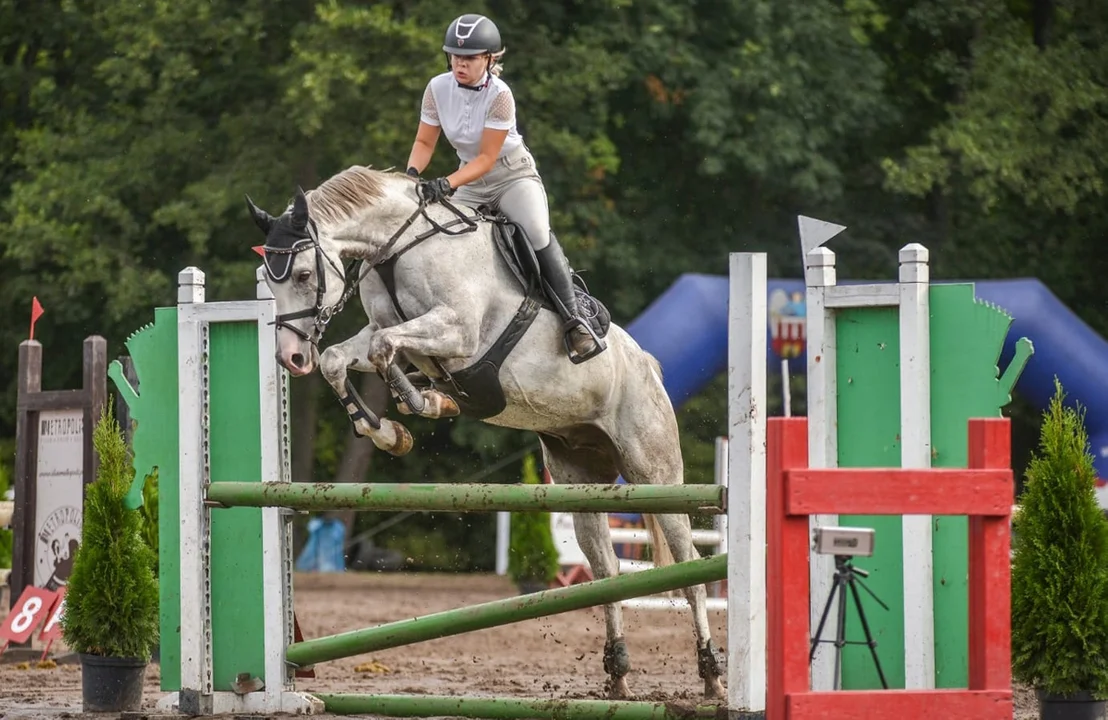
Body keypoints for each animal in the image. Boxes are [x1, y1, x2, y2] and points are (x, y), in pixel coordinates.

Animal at [244, 165, 726, 700]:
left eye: (304, 276)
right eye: (265, 280)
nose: (290, 358)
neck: (398, 247)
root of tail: (649, 366)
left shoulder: (457, 331)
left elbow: (384, 349)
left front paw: (424, 403)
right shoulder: (388, 331)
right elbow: (346, 357)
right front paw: (391, 429)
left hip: (655, 475)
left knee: (689, 569)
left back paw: (711, 675)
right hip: (579, 481)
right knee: (607, 571)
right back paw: (618, 675)